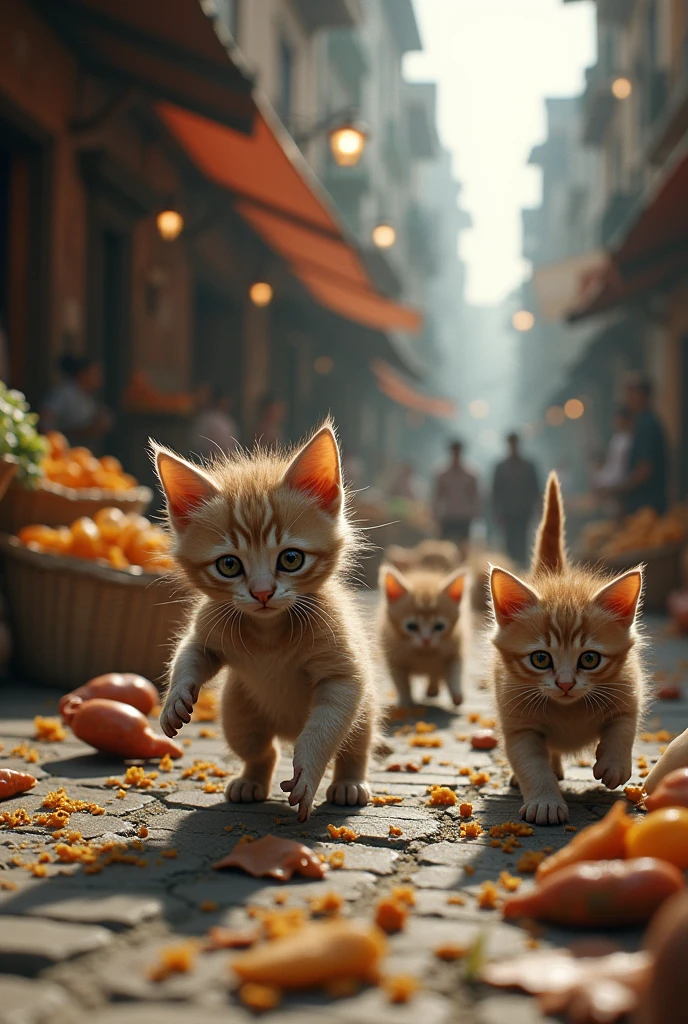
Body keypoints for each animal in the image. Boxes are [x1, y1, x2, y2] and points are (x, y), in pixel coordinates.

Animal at [153, 419, 378, 819]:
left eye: (290, 558)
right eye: (229, 565)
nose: (261, 593)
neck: (269, 632)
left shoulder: (343, 671)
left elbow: (325, 726)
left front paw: (308, 772)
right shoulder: (210, 626)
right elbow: (190, 653)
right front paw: (175, 699)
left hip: (365, 711)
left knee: (354, 745)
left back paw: (349, 783)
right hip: (238, 711)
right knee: (260, 749)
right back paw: (251, 780)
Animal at [376, 565, 466, 708]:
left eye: (439, 627)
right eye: (411, 626)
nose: (426, 639)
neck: (424, 652)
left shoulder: (455, 650)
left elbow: (455, 673)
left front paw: (456, 694)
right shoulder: (395, 659)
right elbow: (401, 683)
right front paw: (405, 701)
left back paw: (433, 689)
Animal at [489, 471, 647, 823]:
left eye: (589, 659)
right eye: (540, 658)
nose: (565, 684)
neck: (568, 709)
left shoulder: (628, 687)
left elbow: (624, 725)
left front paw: (615, 764)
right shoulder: (518, 722)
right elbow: (531, 764)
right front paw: (545, 801)